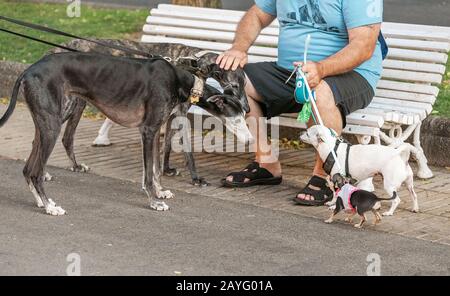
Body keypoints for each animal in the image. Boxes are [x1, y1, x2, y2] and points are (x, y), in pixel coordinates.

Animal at [0, 51, 251, 215]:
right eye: (237, 117)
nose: (250, 139)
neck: (180, 78)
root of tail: (28, 70)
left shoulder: (157, 128)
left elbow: (155, 169)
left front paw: (160, 192)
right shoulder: (148, 130)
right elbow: (149, 173)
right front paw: (154, 201)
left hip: (46, 122)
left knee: (28, 167)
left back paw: (41, 201)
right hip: (52, 124)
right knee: (35, 170)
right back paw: (50, 206)